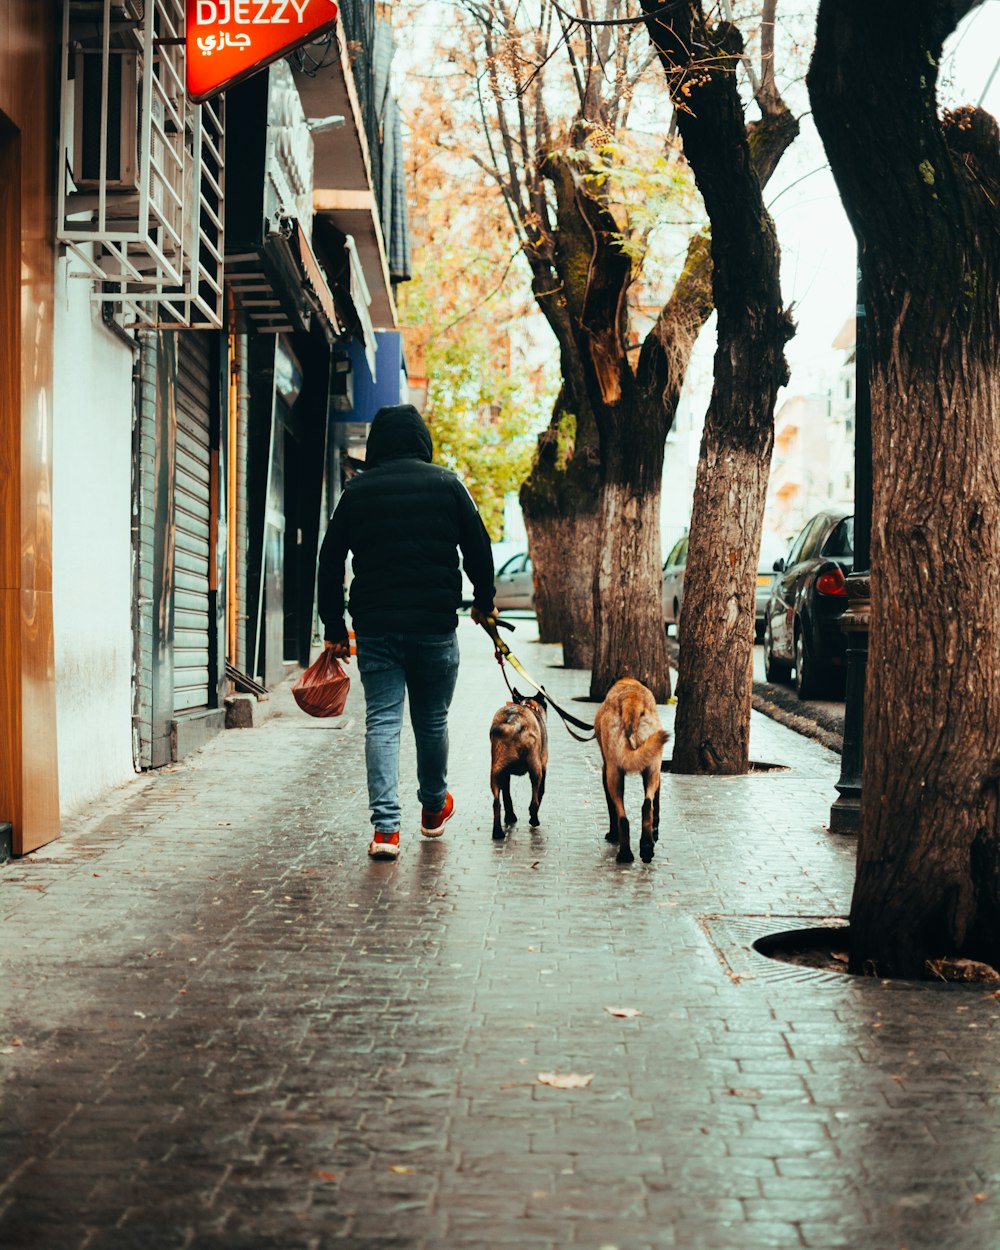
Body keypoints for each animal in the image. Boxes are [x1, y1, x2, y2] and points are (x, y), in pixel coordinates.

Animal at [490, 695, 550, 840]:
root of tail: (514, 720)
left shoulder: (505, 774)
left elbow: (506, 796)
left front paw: (509, 817)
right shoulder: (543, 766)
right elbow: (540, 793)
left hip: (496, 771)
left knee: (496, 802)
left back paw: (498, 832)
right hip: (536, 770)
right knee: (534, 801)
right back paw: (534, 820)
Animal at [597, 680, 670, 865]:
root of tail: (632, 700)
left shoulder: (605, 770)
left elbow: (611, 809)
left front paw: (612, 834)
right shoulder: (656, 772)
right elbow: (656, 805)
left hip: (613, 774)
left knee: (622, 817)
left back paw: (625, 854)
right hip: (651, 768)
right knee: (647, 805)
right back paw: (646, 847)